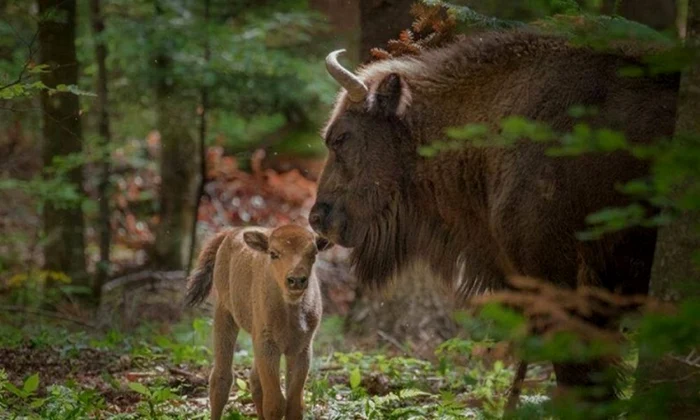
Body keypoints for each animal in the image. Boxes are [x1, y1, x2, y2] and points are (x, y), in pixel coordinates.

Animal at [186, 226, 334, 420]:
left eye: (313, 253)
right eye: (273, 253)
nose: (296, 280)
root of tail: (231, 232)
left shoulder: (301, 349)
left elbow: (294, 405)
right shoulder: (267, 346)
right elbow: (275, 404)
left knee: (254, 381)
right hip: (224, 312)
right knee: (221, 379)